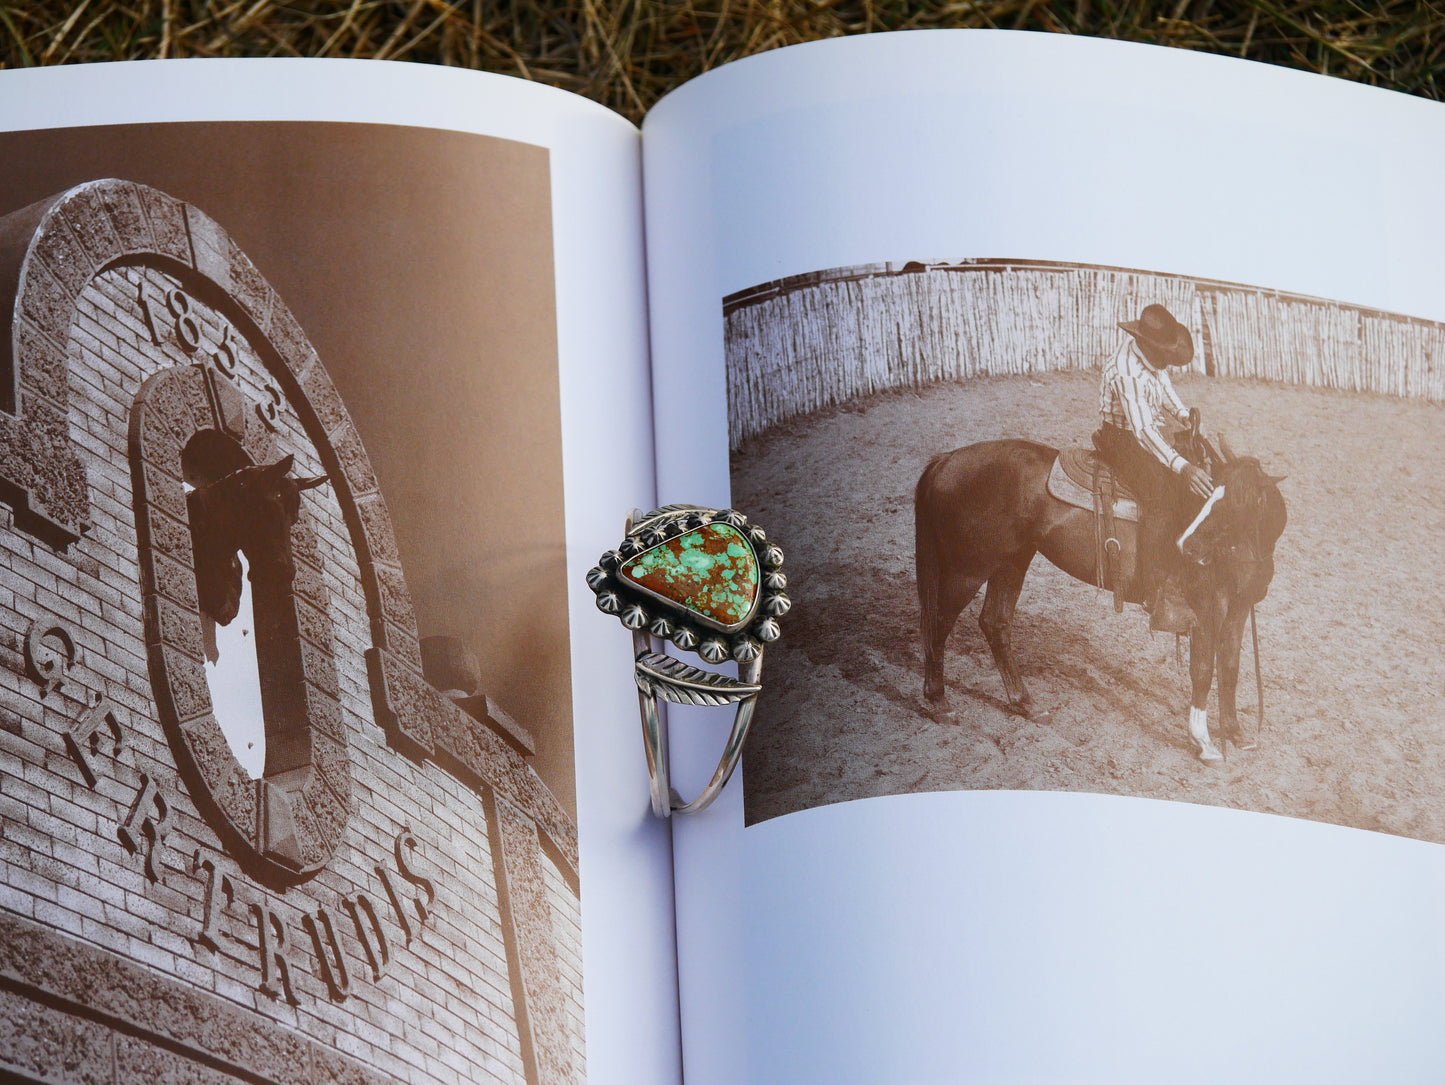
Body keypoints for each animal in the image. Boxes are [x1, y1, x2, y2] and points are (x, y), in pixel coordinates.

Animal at [913, 436, 1288, 762]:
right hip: (969, 568)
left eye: (1238, 502)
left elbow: (1230, 668)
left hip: (1012, 561)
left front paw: (1236, 733)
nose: (1188, 546)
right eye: (1209, 495)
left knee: (995, 623)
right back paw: (938, 701)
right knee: (938, 623)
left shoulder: (1238, 608)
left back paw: (1026, 704)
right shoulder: (1207, 609)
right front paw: (1205, 743)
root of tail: (946, 460)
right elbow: (1203, 669)